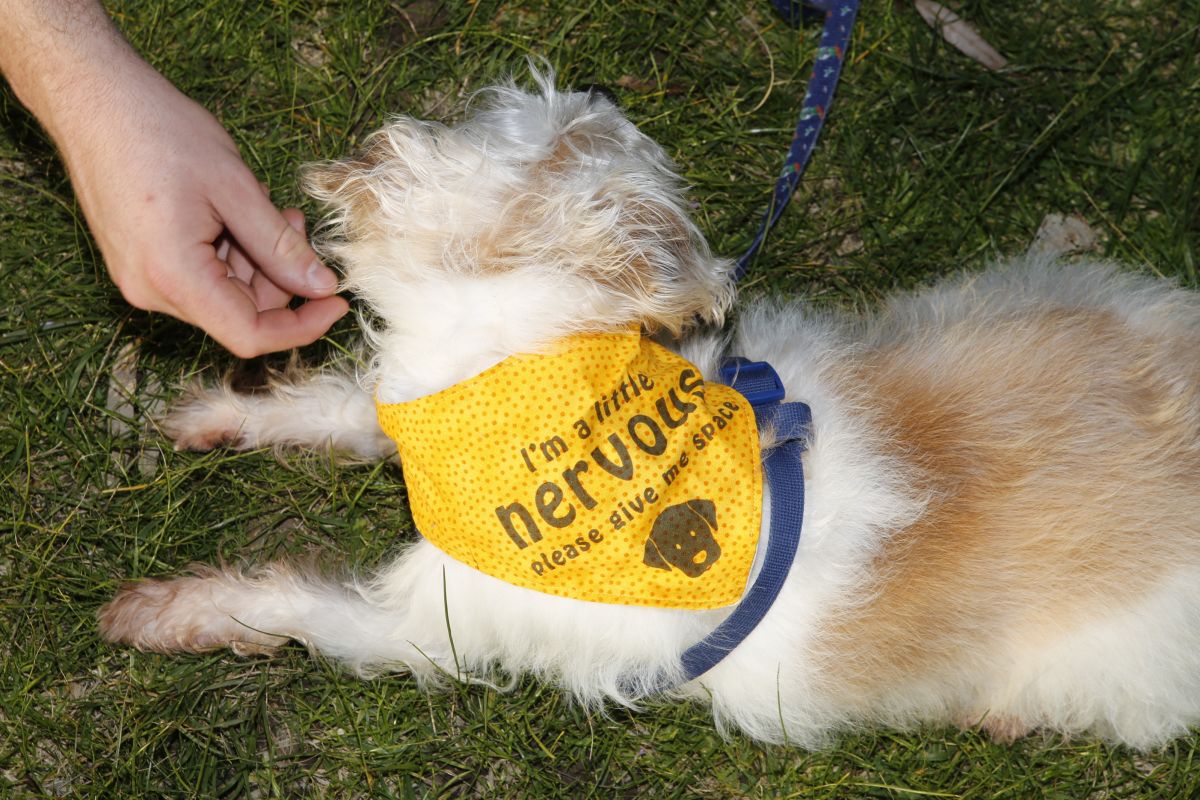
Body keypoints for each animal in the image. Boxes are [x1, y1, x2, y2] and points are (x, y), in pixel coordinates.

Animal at [96, 70, 1200, 753]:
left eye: (549, 143)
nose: (601, 87)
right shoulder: (409, 411)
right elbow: (331, 408)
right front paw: (209, 418)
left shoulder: (426, 622)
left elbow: (294, 604)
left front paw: (172, 611)